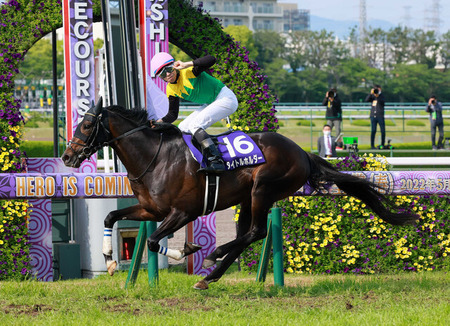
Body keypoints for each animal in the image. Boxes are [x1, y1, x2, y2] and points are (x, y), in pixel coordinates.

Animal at [61, 100, 416, 290]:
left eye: (86, 125)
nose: (67, 157)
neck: (155, 157)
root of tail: (302, 152)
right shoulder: (151, 209)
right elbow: (111, 216)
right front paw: (108, 259)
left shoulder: (183, 212)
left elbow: (151, 240)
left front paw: (186, 251)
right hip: (248, 198)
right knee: (248, 235)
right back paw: (210, 276)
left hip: (263, 190)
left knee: (256, 232)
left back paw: (214, 256)